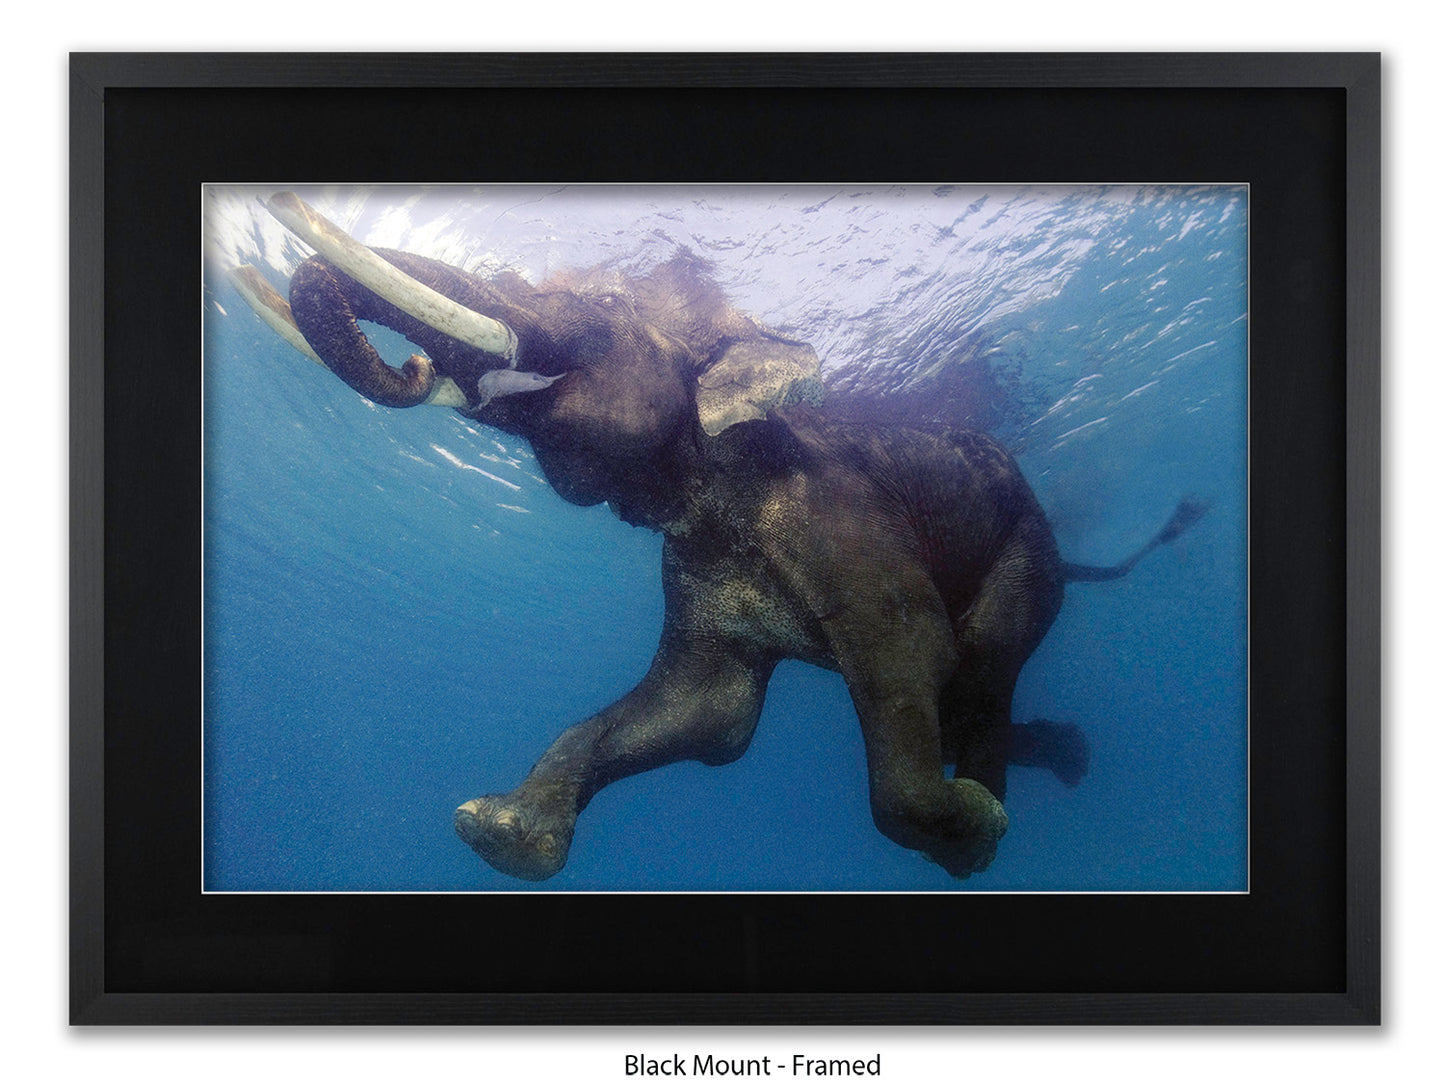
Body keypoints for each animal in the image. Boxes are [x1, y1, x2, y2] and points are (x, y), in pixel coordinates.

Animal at [237, 194, 1204, 882]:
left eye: (598, 309)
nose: (414, 364)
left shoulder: (843, 519)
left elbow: (911, 652)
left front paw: (967, 827)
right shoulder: (691, 567)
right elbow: (709, 713)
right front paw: (494, 830)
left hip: (1025, 553)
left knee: (980, 663)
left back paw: (990, 820)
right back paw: (1054, 760)